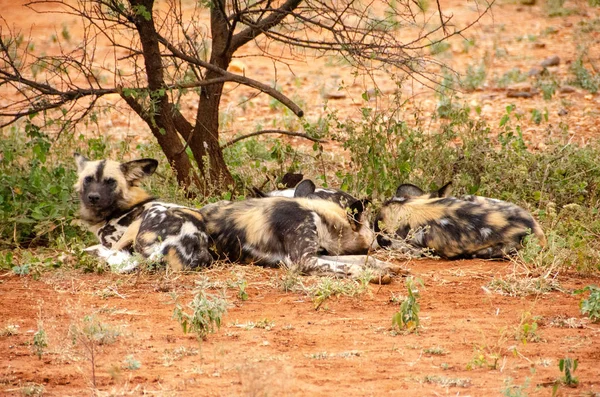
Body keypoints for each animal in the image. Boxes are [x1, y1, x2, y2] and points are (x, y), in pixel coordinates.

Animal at [199, 196, 400, 280]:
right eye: (372, 231)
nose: (382, 241)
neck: (319, 217)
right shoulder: (304, 260)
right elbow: (350, 265)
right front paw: (373, 274)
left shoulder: (317, 254)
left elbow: (360, 259)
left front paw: (386, 266)